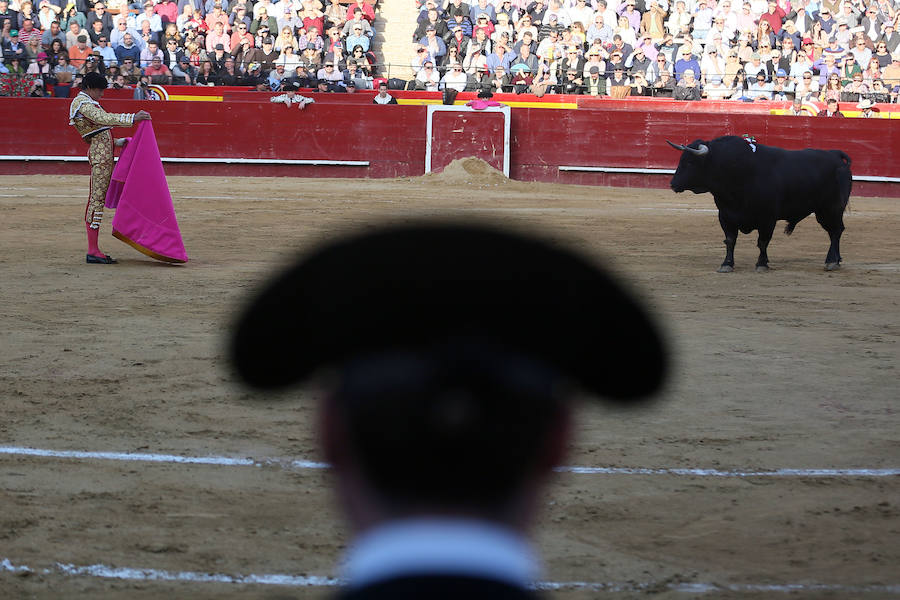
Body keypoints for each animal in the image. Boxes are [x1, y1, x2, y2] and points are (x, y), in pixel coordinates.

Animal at [668, 136, 852, 272]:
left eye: (690, 162)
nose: (673, 184)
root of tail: (835, 155)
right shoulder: (726, 215)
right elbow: (730, 240)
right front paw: (726, 264)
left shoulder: (767, 218)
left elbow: (762, 242)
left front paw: (761, 264)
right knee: (834, 232)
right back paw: (837, 259)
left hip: (831, 209)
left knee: (836, 231)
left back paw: (831, 261)